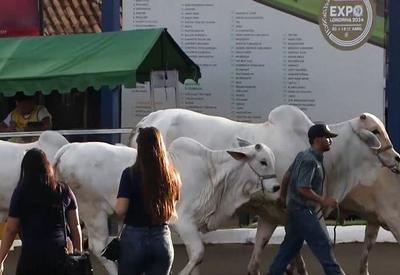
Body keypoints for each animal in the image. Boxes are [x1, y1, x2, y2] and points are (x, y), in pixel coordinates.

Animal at [170, 138, 280, 275]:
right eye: (263, 162)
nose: (276, 187)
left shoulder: (192, 226)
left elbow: (195, 258)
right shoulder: (182, 222)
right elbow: (198, 253)